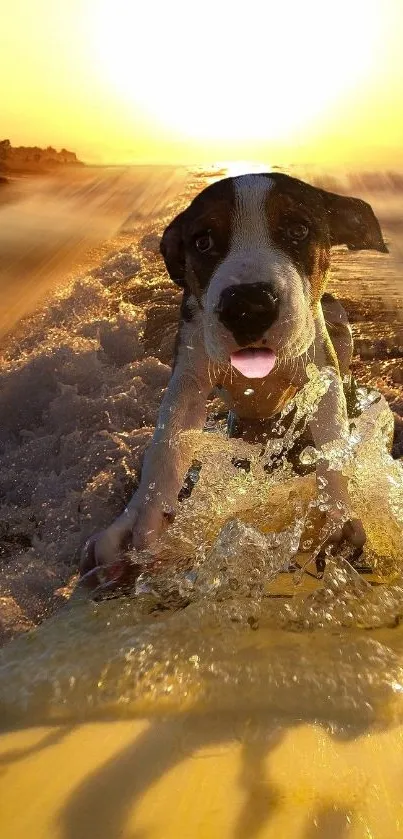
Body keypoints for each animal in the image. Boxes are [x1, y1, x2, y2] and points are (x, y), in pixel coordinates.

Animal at [83, 174, 390, 580]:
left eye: (298, 229)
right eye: (203, 242)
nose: (248, 306)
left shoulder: (320, 370)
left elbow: (330, 436)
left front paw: (336, 514)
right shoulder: (189, 374)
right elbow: (166, 444)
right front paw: (142, 521)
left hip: (338, 322)